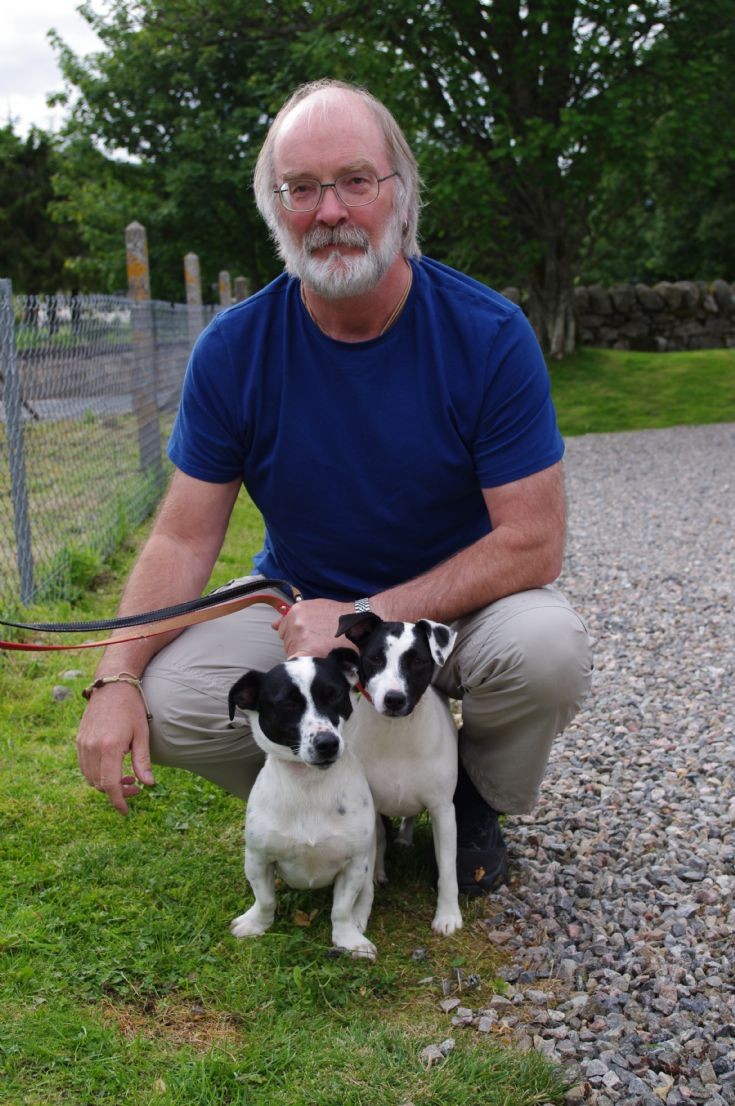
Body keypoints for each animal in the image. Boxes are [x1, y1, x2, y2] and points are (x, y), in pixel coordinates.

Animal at [227, 645, 378, 960]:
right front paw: (257, 924)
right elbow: (265, 900)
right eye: (287, 704)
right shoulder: (258, 858)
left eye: (333, 694)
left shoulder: (354, 865)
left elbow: (341, 909)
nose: (327, 743)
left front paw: (347, 939)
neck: (309, 787)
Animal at [336, 614, 461, 933]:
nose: (393, 699)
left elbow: (448, 869)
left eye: (417, 661)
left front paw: (448, 915)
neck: (397, 735)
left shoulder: (443, 810)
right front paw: (359, 916)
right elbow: (365, 875)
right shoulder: (366, 813)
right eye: (375, 658)